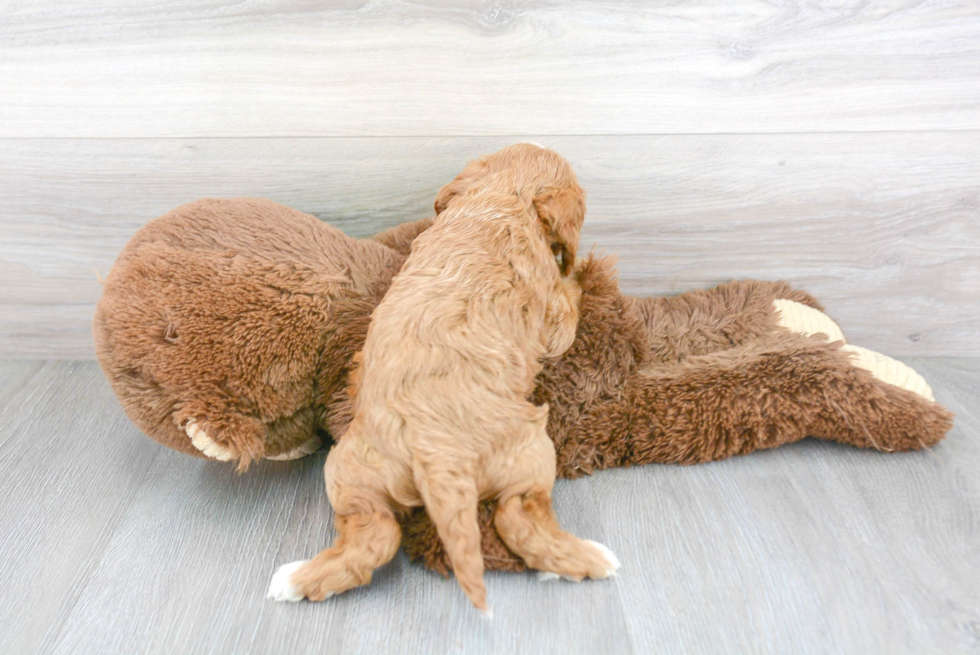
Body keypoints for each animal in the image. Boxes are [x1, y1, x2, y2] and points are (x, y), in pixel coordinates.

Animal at [266, 144, 620, 608]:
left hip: (349, 469)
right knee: (518, 515)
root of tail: (438, 456)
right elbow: (570, 301)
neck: (499, 201)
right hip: (530, 452)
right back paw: (591, 558)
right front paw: (580, 276)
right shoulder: (556, 323)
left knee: (373, 535)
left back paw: (292, 581)